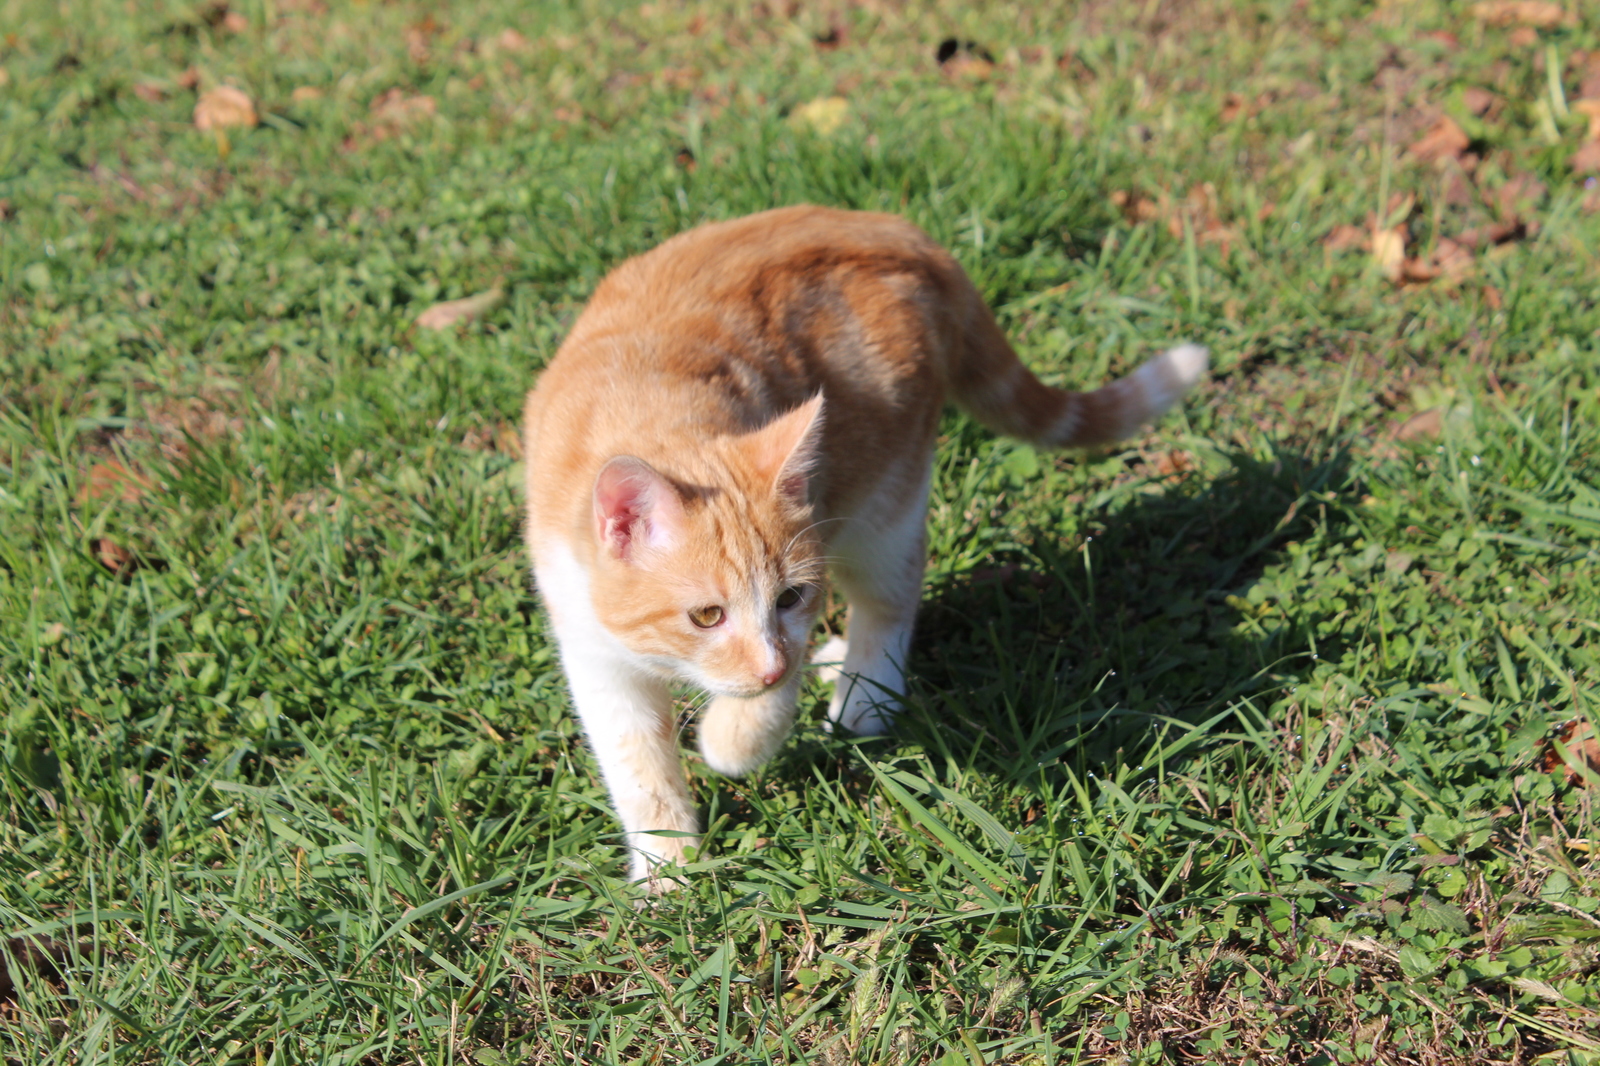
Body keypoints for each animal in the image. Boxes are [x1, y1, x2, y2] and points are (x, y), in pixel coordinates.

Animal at [518, 203, 1203, 883]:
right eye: (706, 616)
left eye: (789, 599)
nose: (770, 667)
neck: (653, 411)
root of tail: (897, 230)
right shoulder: (592, 650)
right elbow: (639, 769)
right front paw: (668, 869)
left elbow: (762, 706)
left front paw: (733, 739)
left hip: (882, 505)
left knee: (891, 601)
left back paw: (863, 698)